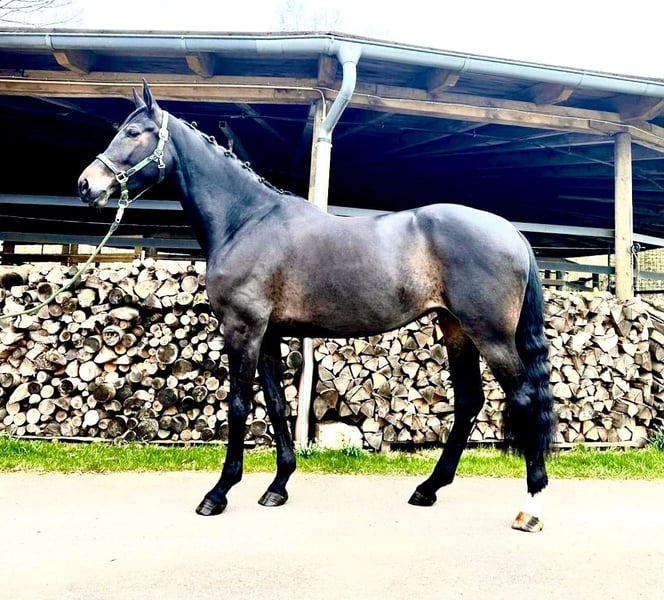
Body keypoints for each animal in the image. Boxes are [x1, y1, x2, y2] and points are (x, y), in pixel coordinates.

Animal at [78, 80, 555, 532]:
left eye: (133, 133)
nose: (86, 185)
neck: (246, 221)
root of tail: (510, 231)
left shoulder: (242, 328)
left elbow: (239, 405)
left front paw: (218, 493)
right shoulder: (268, 333)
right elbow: (276, 404)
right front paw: (277, 486)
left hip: (490, 335)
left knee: (525, 398)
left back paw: (531, 506)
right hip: (455, 328)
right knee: (469, 400)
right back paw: (428, 488)